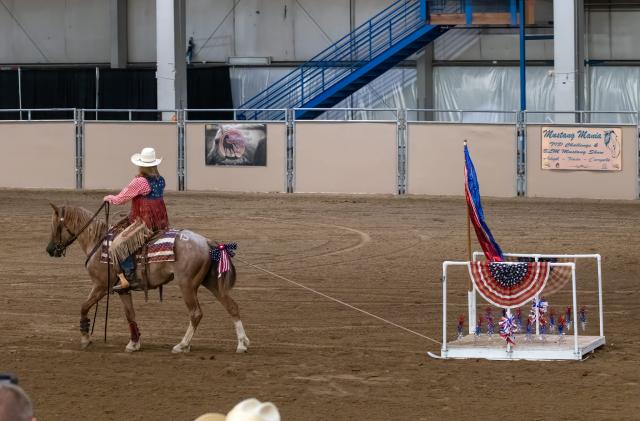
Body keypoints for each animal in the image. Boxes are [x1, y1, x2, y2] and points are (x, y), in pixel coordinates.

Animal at [44, 203, 250, 354]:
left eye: (55, 226)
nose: (50, 249)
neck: (99, 243)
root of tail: (207, 242)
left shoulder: (100, 286)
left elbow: (84, 307)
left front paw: (85, 338)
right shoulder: (122, 290)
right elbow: (130, 314)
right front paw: (134, 343)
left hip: (187, 285)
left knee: (196, 313)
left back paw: (182, 345)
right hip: (211, 282)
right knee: (232, 306)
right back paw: (242, 343)